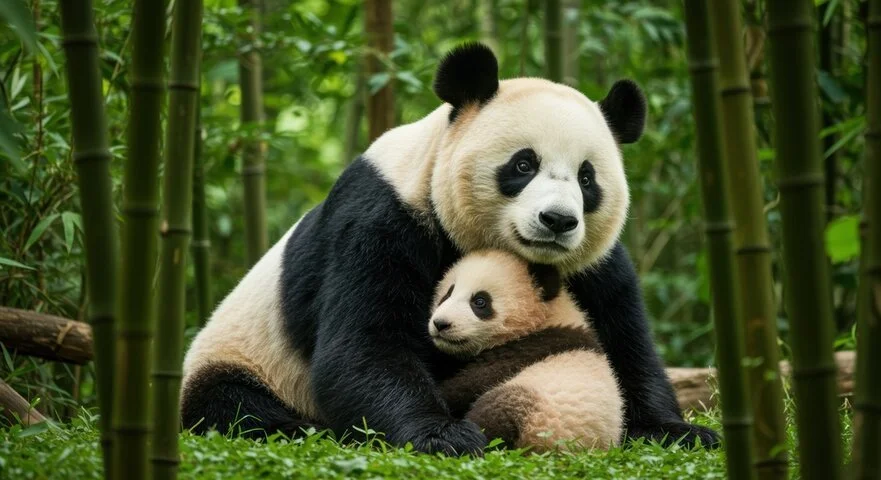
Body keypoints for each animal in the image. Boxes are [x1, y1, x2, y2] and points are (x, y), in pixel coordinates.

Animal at [429, 250, 623, 452]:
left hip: (537, 407)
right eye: (447, 294)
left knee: (496, 412)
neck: (547, 316)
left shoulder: (531, 346)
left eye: (480, 301)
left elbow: (470, 383)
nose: (441, 324)